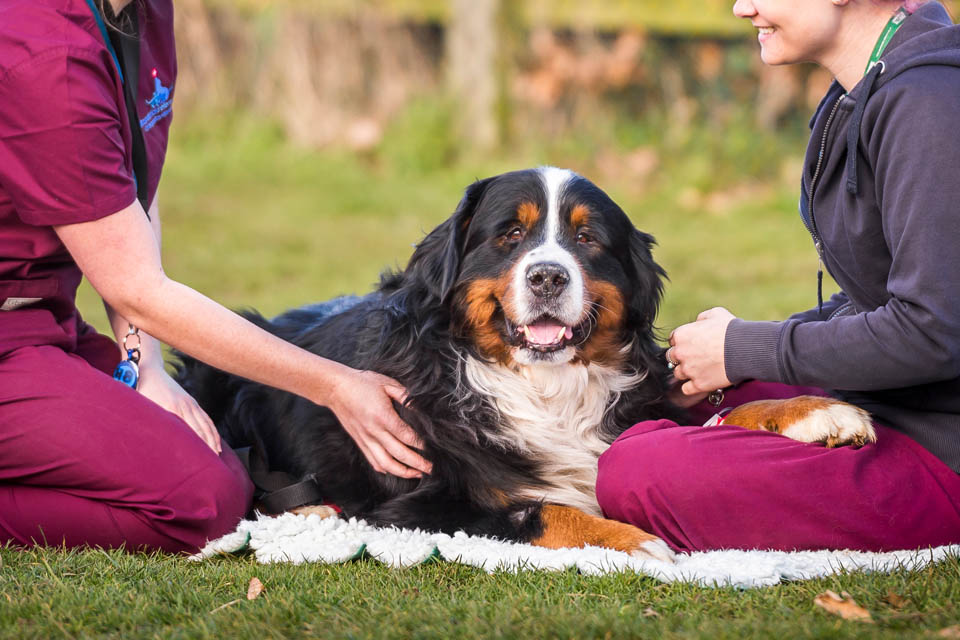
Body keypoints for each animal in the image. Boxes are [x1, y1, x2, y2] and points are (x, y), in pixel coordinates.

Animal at [174, 166, 876, 560]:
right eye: (510, 234)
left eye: (587, 239)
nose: (546, 276)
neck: (543, 383)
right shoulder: (421, 507)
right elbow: (540, 509)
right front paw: (635, 539)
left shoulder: (635, 408)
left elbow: (722, 409)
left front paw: (819, 412)